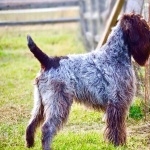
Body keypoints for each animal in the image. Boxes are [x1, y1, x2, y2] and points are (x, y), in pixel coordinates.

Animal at [25, 13, 150, 149]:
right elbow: (117, 128)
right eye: (143, 26)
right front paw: (118, 144)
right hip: (58, 104)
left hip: (40, 104)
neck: (115, 55)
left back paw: (30, 144)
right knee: (47, 128)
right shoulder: (117, 103)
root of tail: (47, 61)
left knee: (31, 125)